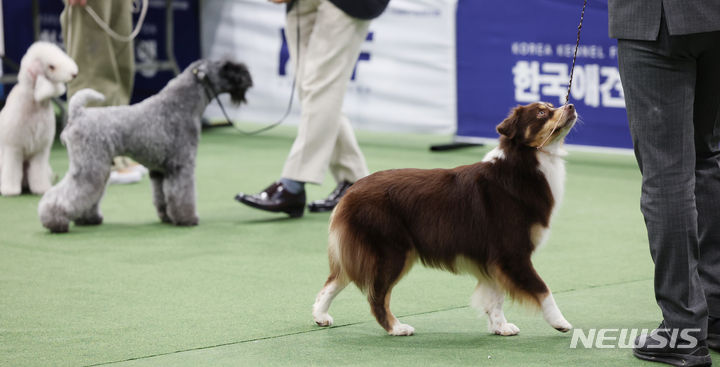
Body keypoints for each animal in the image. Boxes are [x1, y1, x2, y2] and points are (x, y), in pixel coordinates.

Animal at [0, 41, 78, 197]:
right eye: (51, 66)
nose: (74, 74)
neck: (35, 104)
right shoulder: (13, 147)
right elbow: (12, 170)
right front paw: (10, 190)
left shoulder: (41, 150)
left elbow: (38, 172)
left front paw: (42, 188)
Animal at [40, 59, 253, 234]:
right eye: (228, 67)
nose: (248, 76)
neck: (179, 105)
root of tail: (78, 114)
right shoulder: (182, 166)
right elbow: (183, 194)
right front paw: (187, 218)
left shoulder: (159, 171)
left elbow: (162, 197)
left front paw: (167, 217)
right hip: (90, 170)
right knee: (64, 194)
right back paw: (55, 222)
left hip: (96, 169)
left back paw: (88, 219)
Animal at [312, 102, 576, 338]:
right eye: (541, 112)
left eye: (552, 105)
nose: (571, 106)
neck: (524, 162)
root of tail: (350, 192)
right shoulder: (512, 253)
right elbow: (542, 289)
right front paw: (561, 323)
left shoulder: (494, 258)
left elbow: (495, 296)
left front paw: (500, 327)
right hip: (391, 252)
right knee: (376, 296)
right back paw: (397, 328)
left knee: (335, 280)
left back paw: (320, 315)